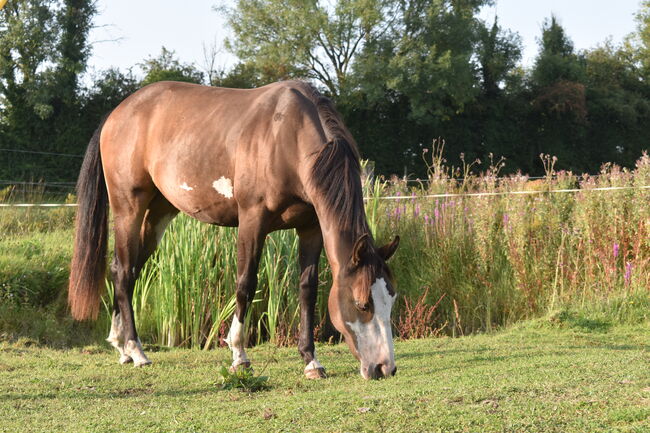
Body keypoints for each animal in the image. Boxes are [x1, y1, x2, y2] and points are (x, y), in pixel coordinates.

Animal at [68, 80, 400, 380]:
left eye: (391, 300)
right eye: (362, 303)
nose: (384, 368)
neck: (287, 137)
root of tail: (117, 113)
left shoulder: (311, 227)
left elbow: (307, 289)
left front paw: (311, 361)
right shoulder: (253, 221)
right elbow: (245, 284)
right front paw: (239, 356)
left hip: (159, 213)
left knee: (124, 269)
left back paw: (121, 345)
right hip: (129, 210)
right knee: (124, 272)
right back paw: (137, 351)